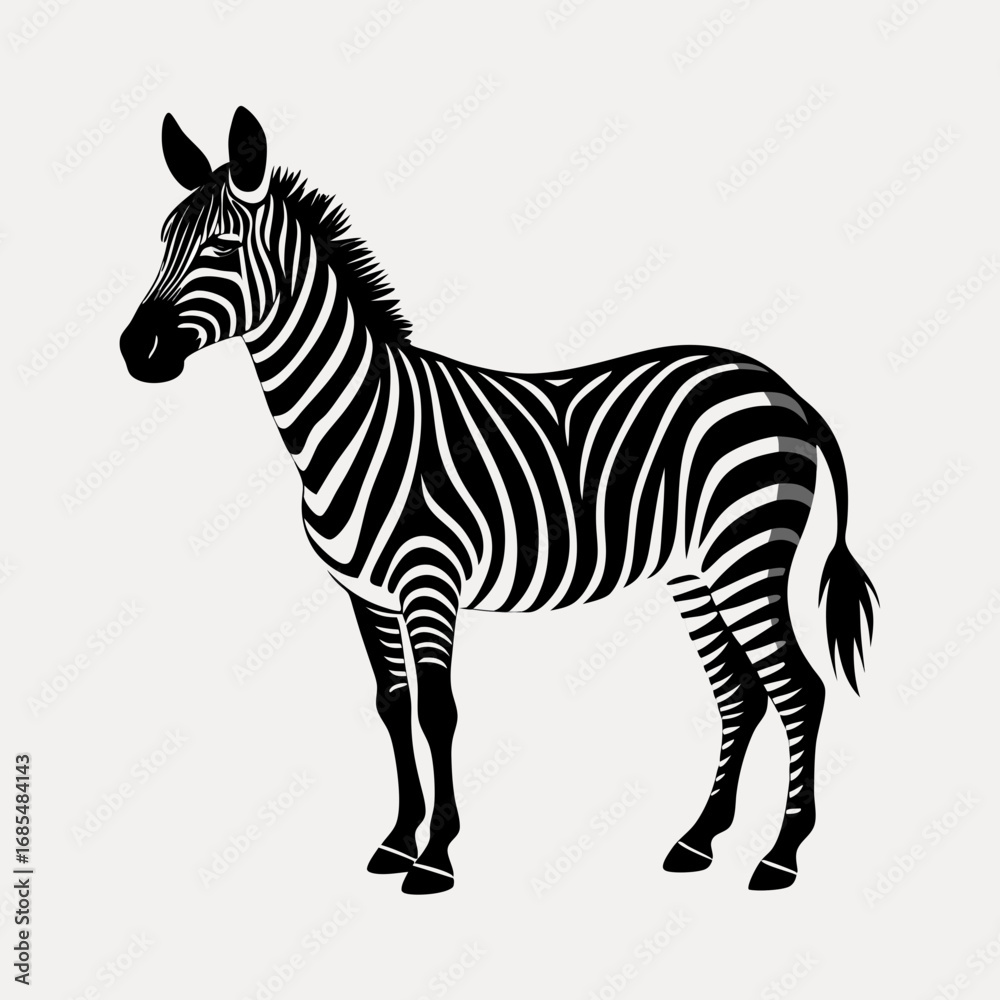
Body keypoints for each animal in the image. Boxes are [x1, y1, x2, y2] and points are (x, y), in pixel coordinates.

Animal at [120, 107, 877, 894]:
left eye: (222, 246)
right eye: (164, 240)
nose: (134, 351)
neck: (353, 419)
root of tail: (781, 386)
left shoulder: (428, 581)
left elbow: (438, 711)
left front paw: (435, 857)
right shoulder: (364, 594)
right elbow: (393, 708)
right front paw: (397, 841)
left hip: (746, 554)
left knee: (798, 688)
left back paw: (780, 855)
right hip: (695, 571)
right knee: (740, 691)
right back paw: (697, 841)